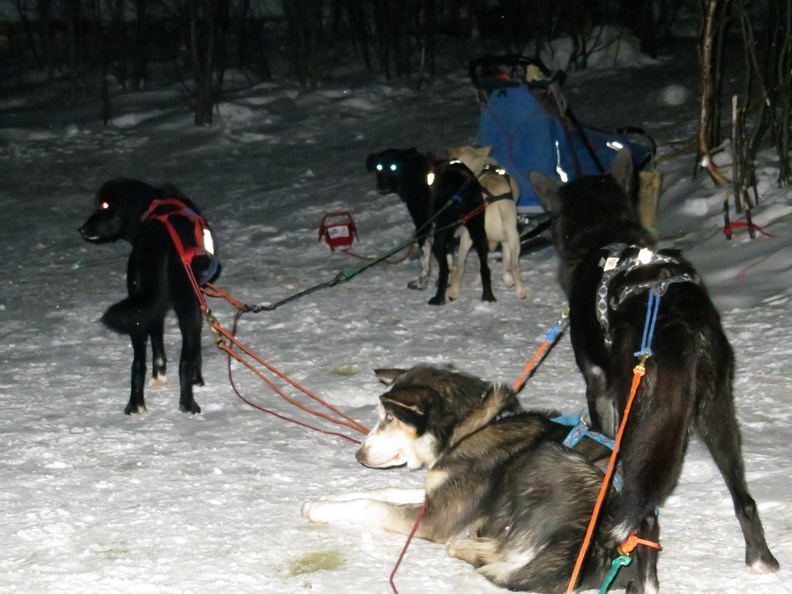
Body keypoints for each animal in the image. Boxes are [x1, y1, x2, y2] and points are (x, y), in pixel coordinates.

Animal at [78, 178, 220, 414]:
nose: (81, 229)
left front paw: (159, 376)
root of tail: (157, 236)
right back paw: (188, 404)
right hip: (187, 302)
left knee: (138, 363)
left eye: (105, 205)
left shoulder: (154, 306)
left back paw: (135, 405)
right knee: (184, 360)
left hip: (137, 305)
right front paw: (197, 379)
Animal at [304, 366, 632, 592]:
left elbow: (371, 505)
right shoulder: (440, 491)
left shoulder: (438, 518)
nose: (359, 455)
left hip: (547, 458)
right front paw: (329, 498)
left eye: (389, 418)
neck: (473, 427)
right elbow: (387, 490)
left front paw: (322, 509)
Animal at [366, 148, 492, 306]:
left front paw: (421, 284)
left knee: (443, 269)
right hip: (478, 232)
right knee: (485, 268)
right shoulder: (447, 231)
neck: (413, 171)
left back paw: (438, 299)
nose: (382, 187)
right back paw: (488, 296)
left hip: (441, 238)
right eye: (379, 167)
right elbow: (450, 257)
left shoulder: (423, 225)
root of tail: (461, 188)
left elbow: (424, 259)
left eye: (393, 167)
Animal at [446, 144, 524, 300]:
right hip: (513, 236)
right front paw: (507, 278)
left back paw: (454, 291)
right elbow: (505, 260)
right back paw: (519, 290)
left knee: (462, 265)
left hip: (468, 237)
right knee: (513, 265)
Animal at [532, 147, 780, 588]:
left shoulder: (600, 390)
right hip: (715, 413)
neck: (603, 232)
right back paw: (760, 559)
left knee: (645, 516)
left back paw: (639, 580)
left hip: (640, 418)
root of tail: (674, 316)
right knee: (745, 499)